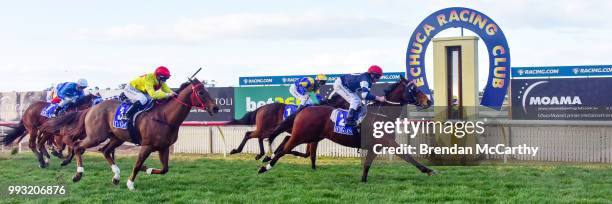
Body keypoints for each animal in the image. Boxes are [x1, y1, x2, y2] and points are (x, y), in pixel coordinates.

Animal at [44, 79, 218, 190]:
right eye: (201, 92)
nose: (215, 108)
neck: (165, 117)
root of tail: (92, 108)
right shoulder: (147, 145)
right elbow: (137, 164)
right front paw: (131, 184)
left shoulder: (164, 147)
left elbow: (164, 169)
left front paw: (147, 169)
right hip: (96, 136)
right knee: (79, 147)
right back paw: (78, 174)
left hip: (117, 138)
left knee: (105, 151)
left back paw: (116, 176)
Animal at [256, 76, 438, 182]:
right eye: (413, 89)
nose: (428, 101)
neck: (382, 114)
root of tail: (306, 108)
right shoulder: (387, 141)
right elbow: (407, 155)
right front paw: (428, 170)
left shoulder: (376, 145)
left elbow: (367, 164)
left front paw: (363, 180)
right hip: (301, 135)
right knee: (283, 149)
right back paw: (265, 166)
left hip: (311, 136)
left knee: (287, 147)